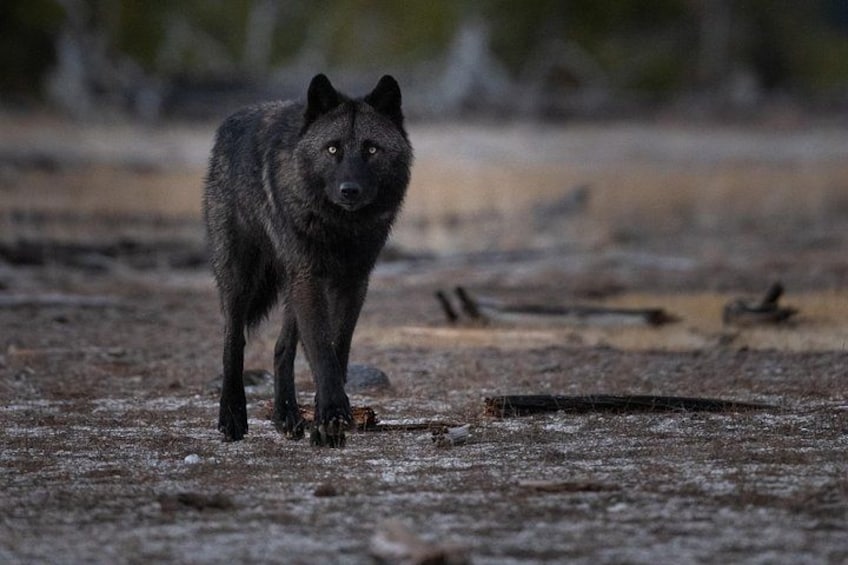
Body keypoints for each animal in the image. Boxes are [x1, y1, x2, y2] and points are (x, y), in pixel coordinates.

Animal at [203, 74, 412, 447]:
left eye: (371, 149)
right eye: (332, 149)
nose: (349, 190)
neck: (340, 228)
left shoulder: (353, 281)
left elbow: (336, 348)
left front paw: (325, 426)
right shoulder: (310, 277)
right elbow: (321, 350)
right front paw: (332, 415)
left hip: (292, 286)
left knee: (281, 347)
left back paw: (286, 417)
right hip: (241, 278)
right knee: (233, 340)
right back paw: (232, 418)